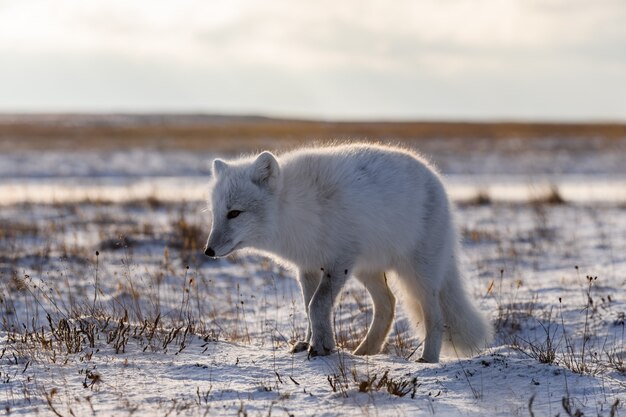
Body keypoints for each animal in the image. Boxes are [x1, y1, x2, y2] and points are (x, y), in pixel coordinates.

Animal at [202, 143, 490, 360]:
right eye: (216, 214)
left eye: (235, 213)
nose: (208, 251)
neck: (297, 208)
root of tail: (437, 179)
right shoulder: (308, 267)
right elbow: (309, 307)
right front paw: (310, 343)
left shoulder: (339, 263)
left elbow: (317, 305)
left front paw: (322, 347)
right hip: (368, 271)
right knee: (388, 305)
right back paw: (365, 352)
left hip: (418, 274)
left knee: (435, 316)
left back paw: (427, 359)